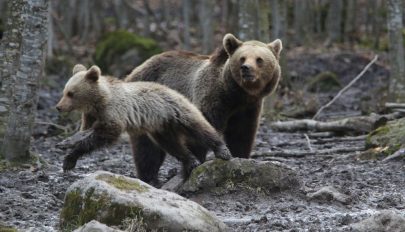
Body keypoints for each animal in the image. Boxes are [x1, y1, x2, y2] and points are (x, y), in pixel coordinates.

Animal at [125, 33, 280, 185]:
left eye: (259, 59)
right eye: (242, 58)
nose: (246, 68)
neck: (236, 94)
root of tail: (134, 70)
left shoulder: (248, 108)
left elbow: (241, 133)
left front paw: (240, 157)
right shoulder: (212, 97)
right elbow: (201, 126)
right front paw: (194, 167)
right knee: (146, 147)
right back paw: (150, 177)